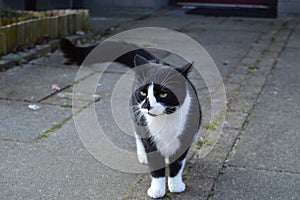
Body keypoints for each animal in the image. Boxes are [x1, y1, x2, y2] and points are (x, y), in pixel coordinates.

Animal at [60, 38, 202, 198]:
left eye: (164, 93)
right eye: (143, 92)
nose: (147, 105)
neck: (163, 120)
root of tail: (156, 61)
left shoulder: (186, 134)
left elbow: (177, 163)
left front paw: (176, 185)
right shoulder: (148, 135)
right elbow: (155, 165)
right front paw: (157, 189)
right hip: (136, 113)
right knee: (137, 133)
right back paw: (143, 155)